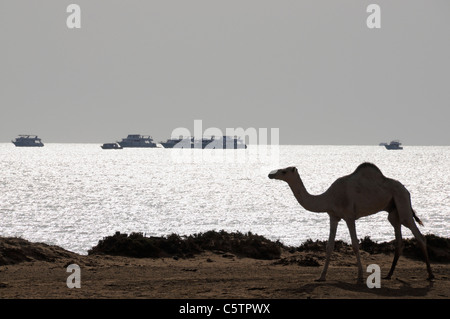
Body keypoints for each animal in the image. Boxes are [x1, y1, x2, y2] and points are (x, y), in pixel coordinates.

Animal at [268, 164, 434, 284]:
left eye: (284, 171)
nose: (271, 174)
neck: (329, 197)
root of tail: (406, 190)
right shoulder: (333, 216)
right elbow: (329, 246)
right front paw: (321, 277)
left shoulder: (349, 216)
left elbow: (354, 244)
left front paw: (360, 276)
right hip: (393, 210)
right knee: (399, 239)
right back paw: (388, 275)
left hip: (402, 201)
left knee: (419, 235)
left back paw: (430, 275)